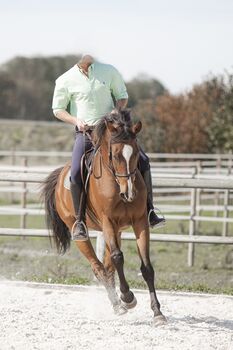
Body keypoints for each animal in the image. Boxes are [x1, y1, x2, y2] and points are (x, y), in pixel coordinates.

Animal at [41, 110, 166, 326]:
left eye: (135, 154)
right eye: (115, 155)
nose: (129, 193)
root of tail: (61, 175)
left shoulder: (140, 222)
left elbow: (147, 267)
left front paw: (157, 313)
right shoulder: (107, 221)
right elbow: (118, 258)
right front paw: (128, 297)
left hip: (117, 231)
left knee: (108, 268)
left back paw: (120, 302)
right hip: (82, 232)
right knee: (99, 268)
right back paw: (118, 305)